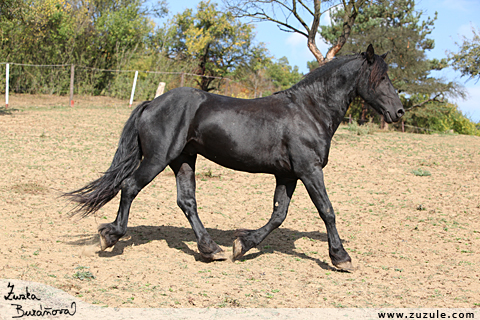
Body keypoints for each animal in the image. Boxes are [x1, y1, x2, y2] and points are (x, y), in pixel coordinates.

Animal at [66, 45, 404, 270]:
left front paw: (242, 245)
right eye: (381, 78)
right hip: (158, 159)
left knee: (186, 202)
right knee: (130, 187)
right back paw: (110, 236)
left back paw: (210, 249)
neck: (309, 110)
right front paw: (341, 257)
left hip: (183, 160)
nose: (399, 112)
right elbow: (327, 211)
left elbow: (278, 215)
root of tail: (152, 103)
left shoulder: (288, 175)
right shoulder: (309, 170)